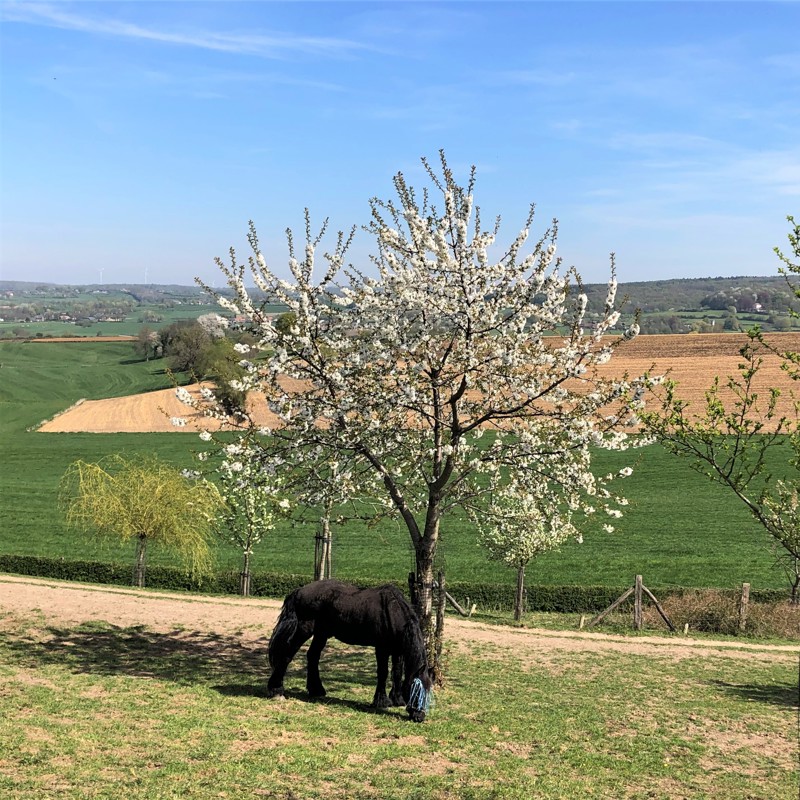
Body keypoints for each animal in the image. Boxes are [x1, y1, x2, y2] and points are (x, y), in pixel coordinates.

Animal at [268, 580, 432, 720]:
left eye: (429, 689)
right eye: (416, 689)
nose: (419, 717)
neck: (392, 611)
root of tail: (299, 591)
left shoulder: (397, 650)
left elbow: (397, 672)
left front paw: (397, 699)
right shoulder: (382, 649)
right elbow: (383, 673)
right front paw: (381, 701)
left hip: (322, 633)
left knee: (313, 656)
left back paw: (316, 690)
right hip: (303, 630)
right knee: (287, 654)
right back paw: (276, 690)